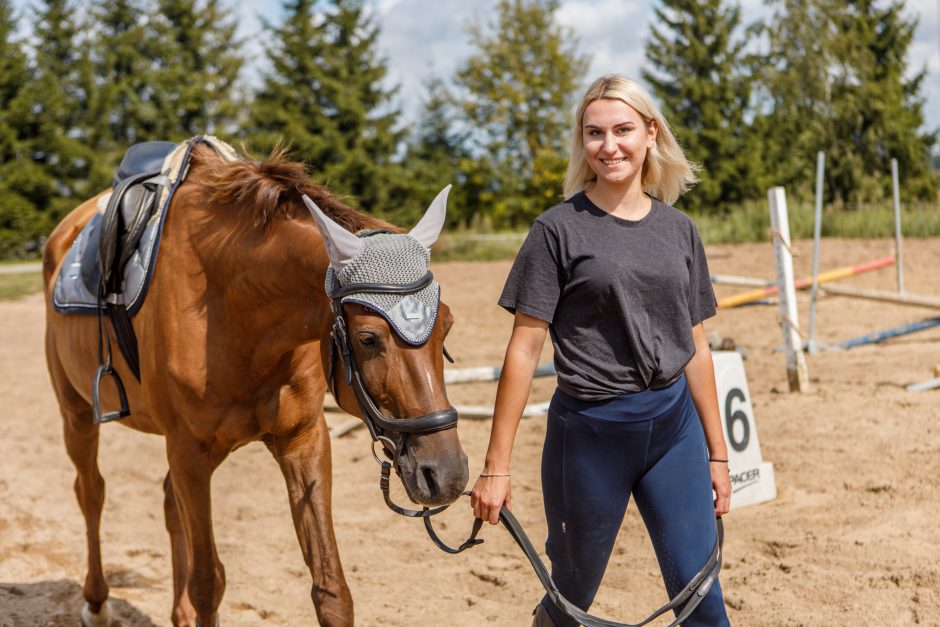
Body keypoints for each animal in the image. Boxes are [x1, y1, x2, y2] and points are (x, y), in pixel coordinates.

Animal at [43, 144, 470, 627]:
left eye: (447, 325)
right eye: (368, 339)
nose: (448, 475)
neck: (236, 308)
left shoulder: (302, 440)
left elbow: (332, 590)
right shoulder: (190, 453)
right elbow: (208, 583)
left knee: (168, 504)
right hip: (76, 414)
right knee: (92, 493)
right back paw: (97, 603)